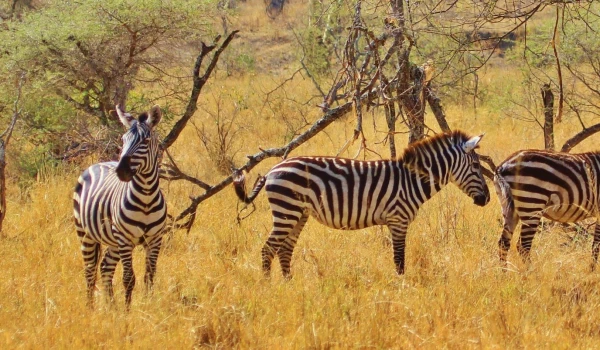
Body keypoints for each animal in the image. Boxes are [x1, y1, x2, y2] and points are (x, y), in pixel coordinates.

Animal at [73, 105, 168, 308]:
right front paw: (127, 311)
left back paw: (111, 306)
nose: (121, 171)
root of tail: (98, 163)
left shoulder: (155, 239)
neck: (146, 197)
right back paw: (90, 308)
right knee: (90, 271)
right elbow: (128, 278)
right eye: (123, 140)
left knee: (105, 267)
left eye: (145, 141)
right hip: (86, 234)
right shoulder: (125, 239)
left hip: (113, 241)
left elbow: (149, 276)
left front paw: (148, 306)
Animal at [232, 130, 490, 278]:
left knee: (284, 250)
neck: (412, 180)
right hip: (287, 210)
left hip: (298, 213)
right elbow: (399, 260)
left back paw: (289, 285)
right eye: (476, 166)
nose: (486, 199)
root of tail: (272, 169)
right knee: (268, 249)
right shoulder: (398, 220)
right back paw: (268, 286)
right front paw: (402, 289)